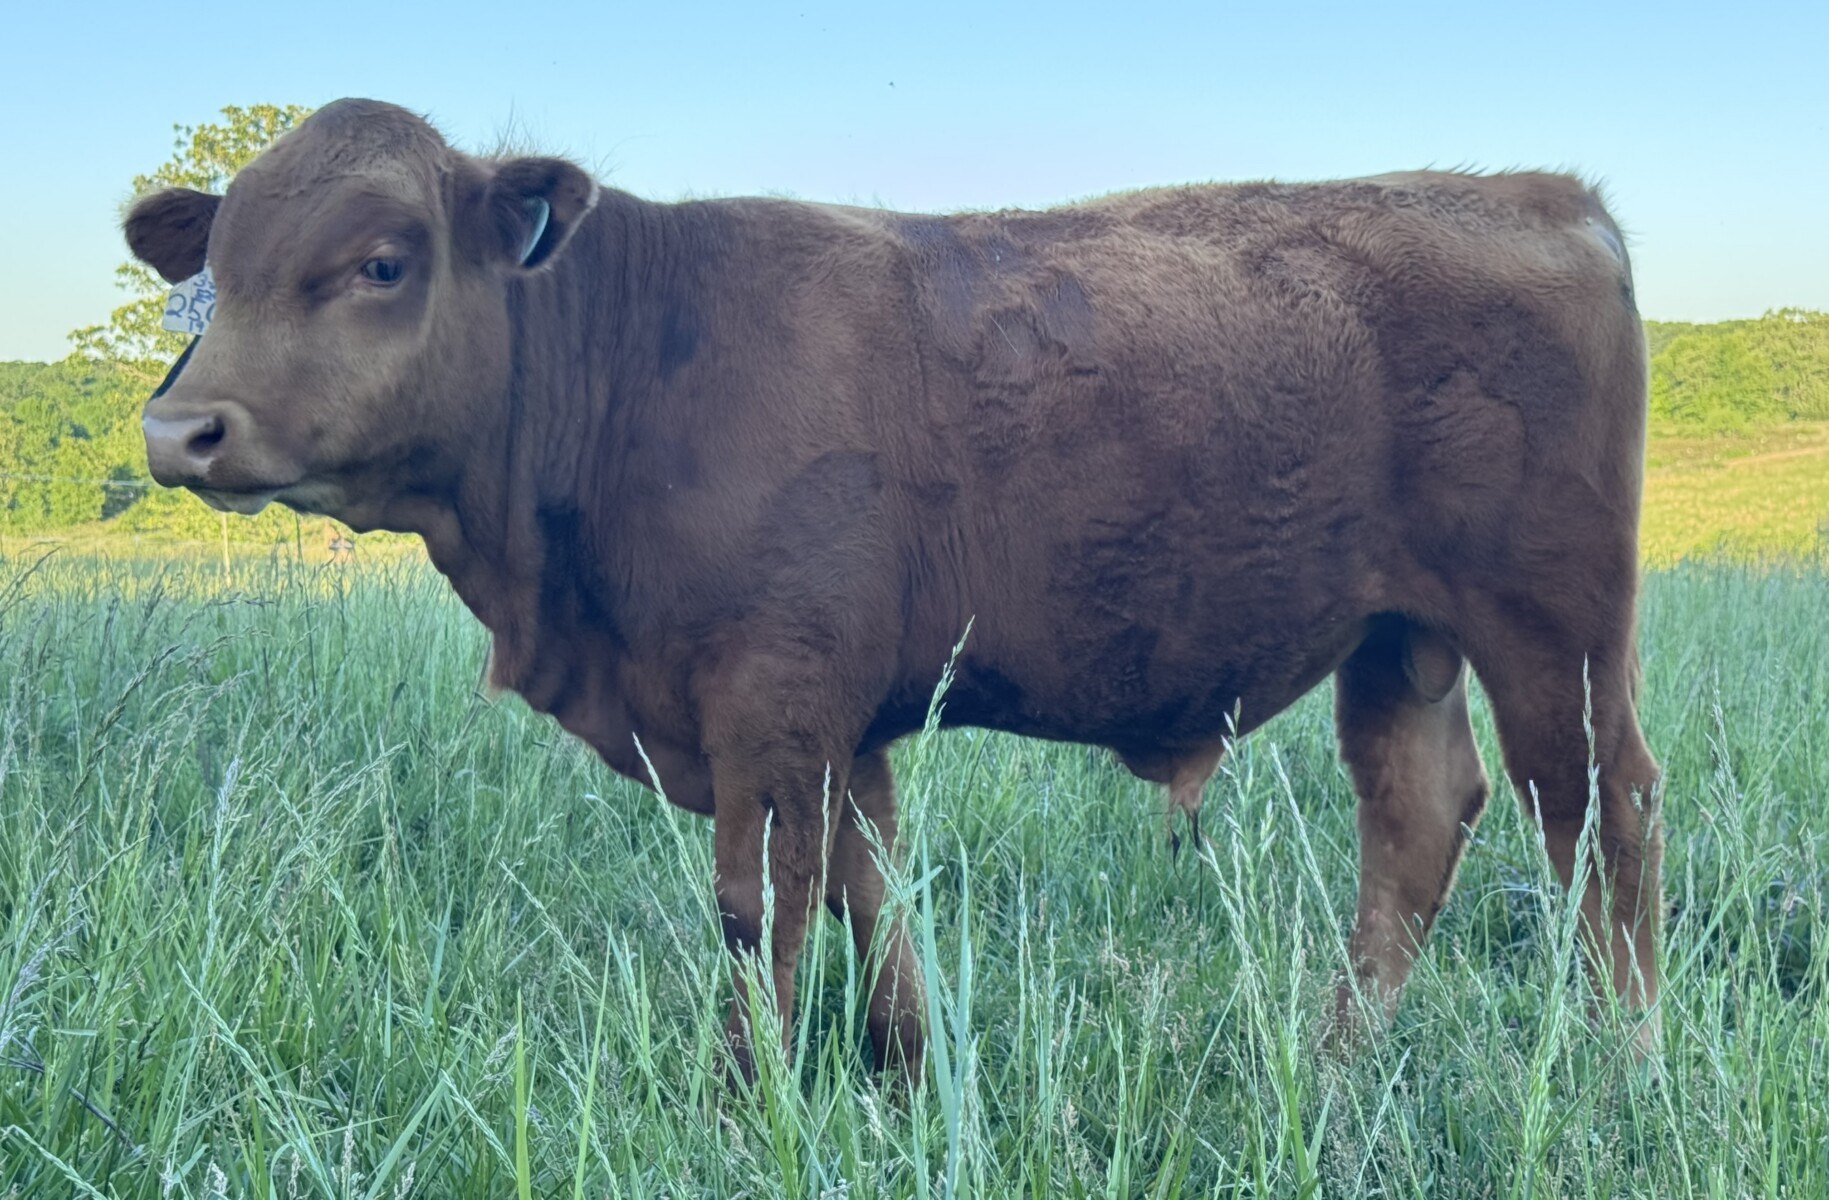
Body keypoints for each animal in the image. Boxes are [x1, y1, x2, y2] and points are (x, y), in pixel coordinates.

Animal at [128, 99, 1662, 1078]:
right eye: (217, 270)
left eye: (380, 262)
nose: (181, 429)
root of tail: (1540, 201)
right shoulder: (834, 721)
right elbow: (872, 891)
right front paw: (907, 1067)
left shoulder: (769, 705)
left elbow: (764, 906)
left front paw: (744, 1100)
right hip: (1400, 639)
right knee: (1416, 818)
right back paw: (1341, 1059)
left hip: (1554, 632)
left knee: (1599, 811)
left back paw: (1623, 1062)